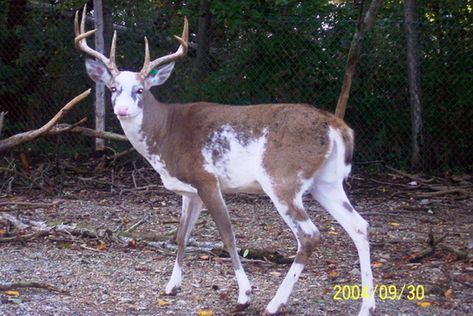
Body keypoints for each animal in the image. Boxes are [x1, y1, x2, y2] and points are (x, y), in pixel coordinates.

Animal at [74, 5, 376, 316]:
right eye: (113, 89)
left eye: (140, 90)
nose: (122, 110)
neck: (165, 134)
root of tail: (336, 125)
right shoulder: (189, 191)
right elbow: (181, 235)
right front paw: (172, 286)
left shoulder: (207, 178)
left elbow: (228, 234)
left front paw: (244, 295)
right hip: (325, 182)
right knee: (359, 225)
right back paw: (366, 306)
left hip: (281, 177)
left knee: (310, 235)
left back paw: (274, 303)